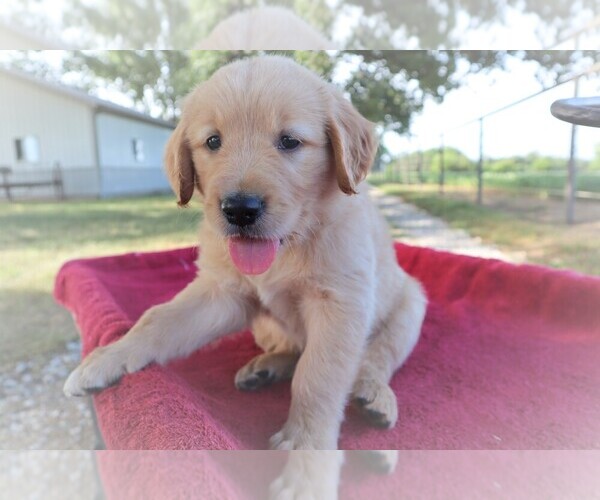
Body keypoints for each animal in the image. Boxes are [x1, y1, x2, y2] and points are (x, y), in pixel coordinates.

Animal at [64, 56, 426, 452]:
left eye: (289, 141)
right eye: (213, 141)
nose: (239, 209)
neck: (289, 246)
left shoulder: (340, 304)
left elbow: (317, 377)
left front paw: (304, 449)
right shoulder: (222, 294)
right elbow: (156, 319)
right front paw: (108, 357)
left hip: (410, 307)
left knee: (376, 357)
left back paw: (374, 395)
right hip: (264, 326)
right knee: (294, 348)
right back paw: (265, 367)